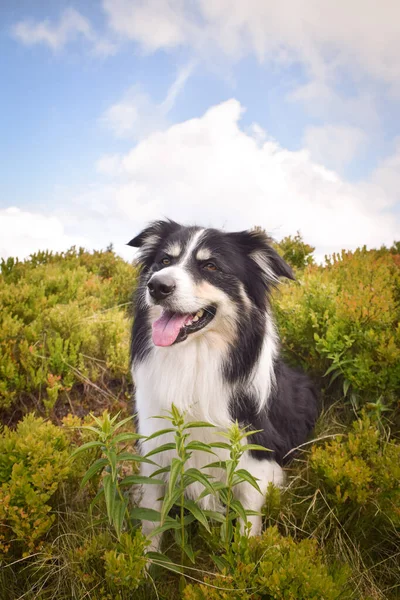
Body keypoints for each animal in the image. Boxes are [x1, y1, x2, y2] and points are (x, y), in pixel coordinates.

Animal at [128, 220, 318, 548]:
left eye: (211, 266)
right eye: (164, 260)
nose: (157, 286)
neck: (194, 358)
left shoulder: (254, 458)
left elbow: (247, 524)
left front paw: (242, 557)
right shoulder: (155, 447)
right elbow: (151, 520)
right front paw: (144, 561)